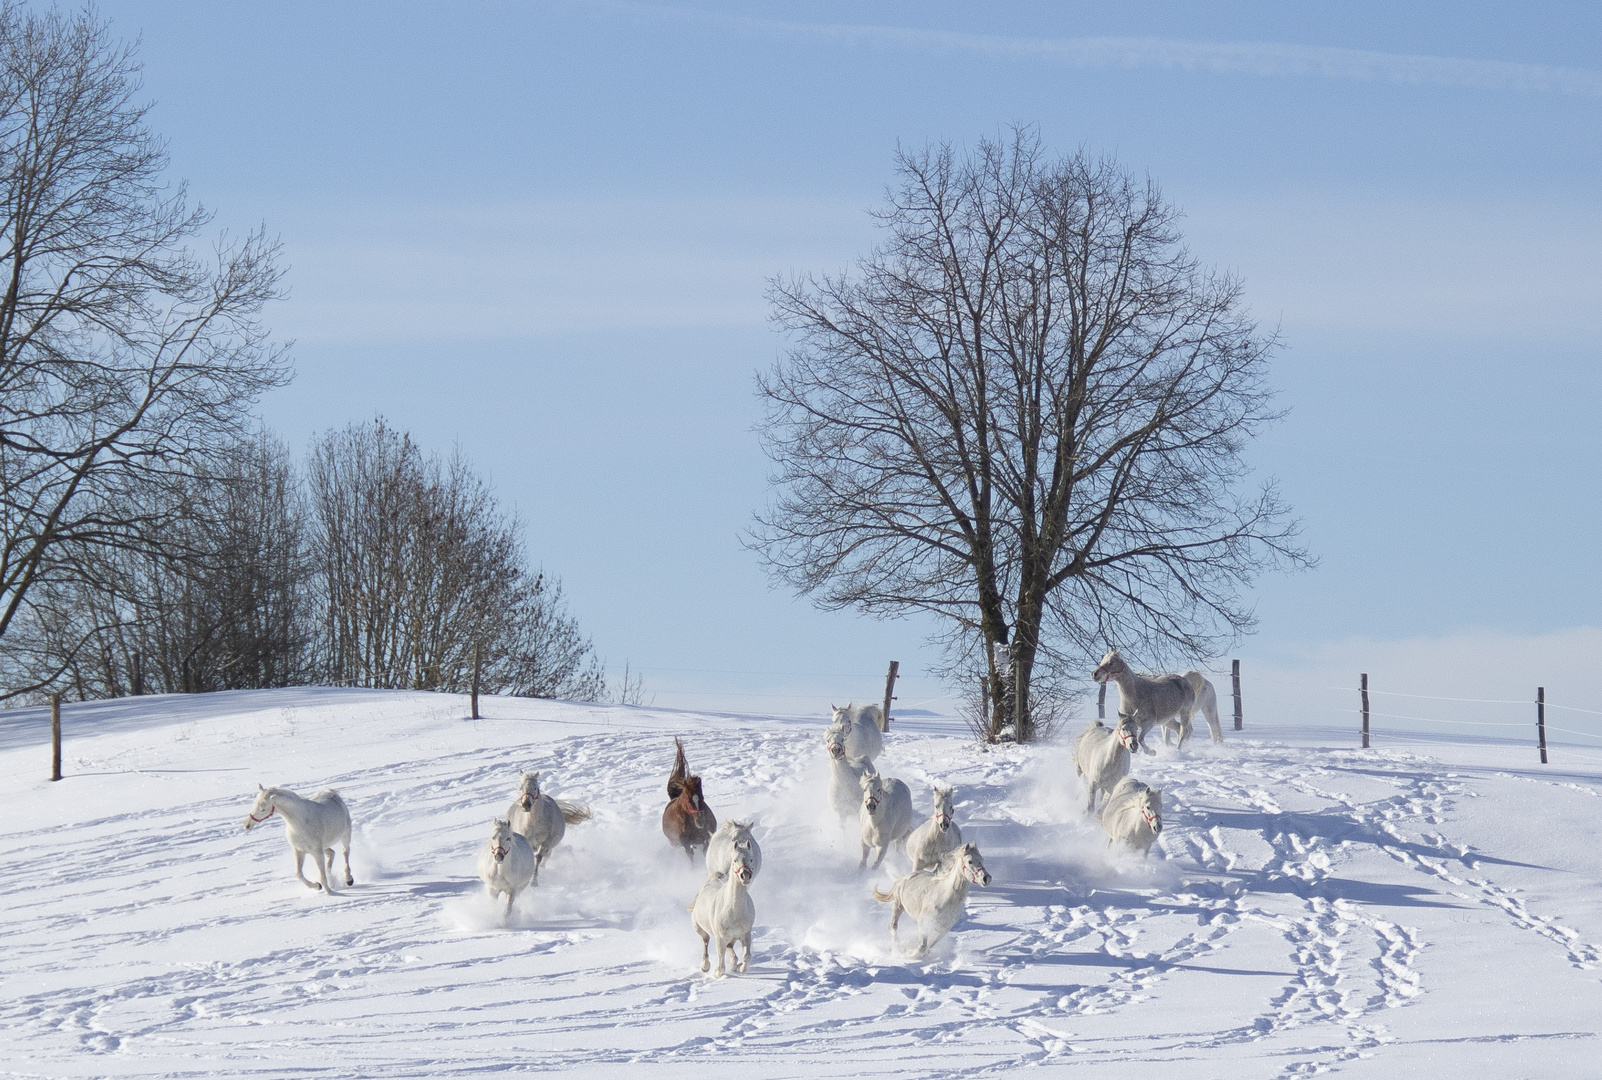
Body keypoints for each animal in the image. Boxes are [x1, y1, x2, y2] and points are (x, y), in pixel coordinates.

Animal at [660, 737, 717, 865]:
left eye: (702, 797)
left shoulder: (706, 836)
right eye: (687, 799)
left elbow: (706, 850)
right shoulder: (685, 843)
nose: (700, 822)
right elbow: (690, 856)